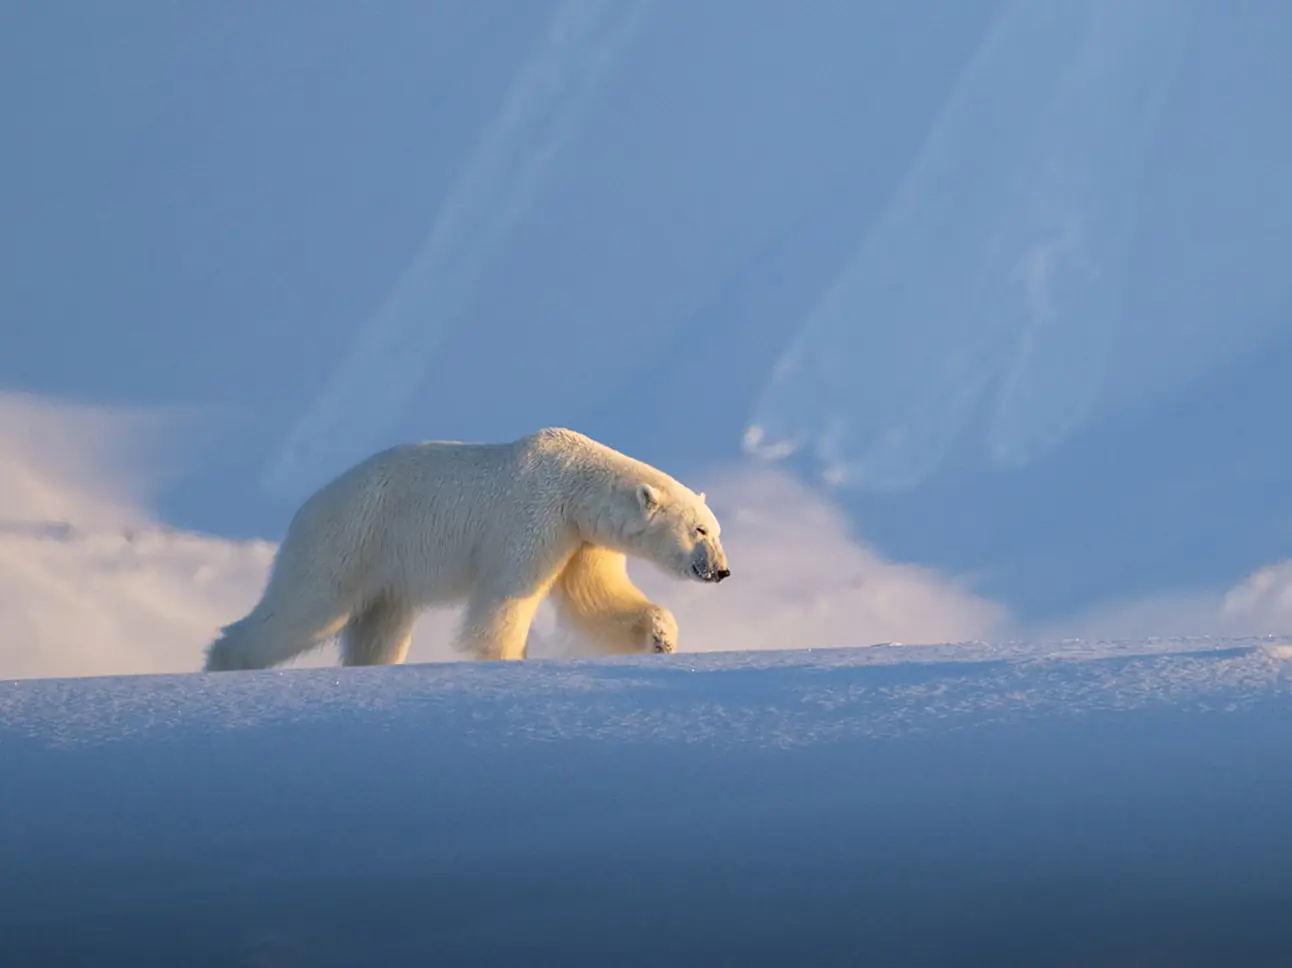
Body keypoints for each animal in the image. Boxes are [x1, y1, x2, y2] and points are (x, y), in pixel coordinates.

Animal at [201, 426, 728, 666]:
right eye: (699, 531)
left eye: (716, 529)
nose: (721, 571)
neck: (576, 484)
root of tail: (305, 508)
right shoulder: (533, 518)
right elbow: (504, 602)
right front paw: (508, 662)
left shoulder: (580, 540)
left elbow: (596, 599)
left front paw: (661, 635)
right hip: (349, 541)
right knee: (304, 608)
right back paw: (225, 660)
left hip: (386, 576)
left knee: (378, 629)